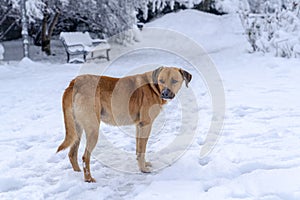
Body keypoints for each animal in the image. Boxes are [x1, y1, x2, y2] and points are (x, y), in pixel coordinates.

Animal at [56, 66, 192, 182]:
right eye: (161, 81)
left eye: (174, 81)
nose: (164, 93)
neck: (153, 87)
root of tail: (74, 82)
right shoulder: (146, 125)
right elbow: (142, 149)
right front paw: (143, 170)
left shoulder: (139, 126)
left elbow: (139, 149)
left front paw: (142, 164)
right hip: (93, 130)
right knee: (85, 157)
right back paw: (89, 179)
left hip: (77, 130)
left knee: (72, 154)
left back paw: (77, 173)